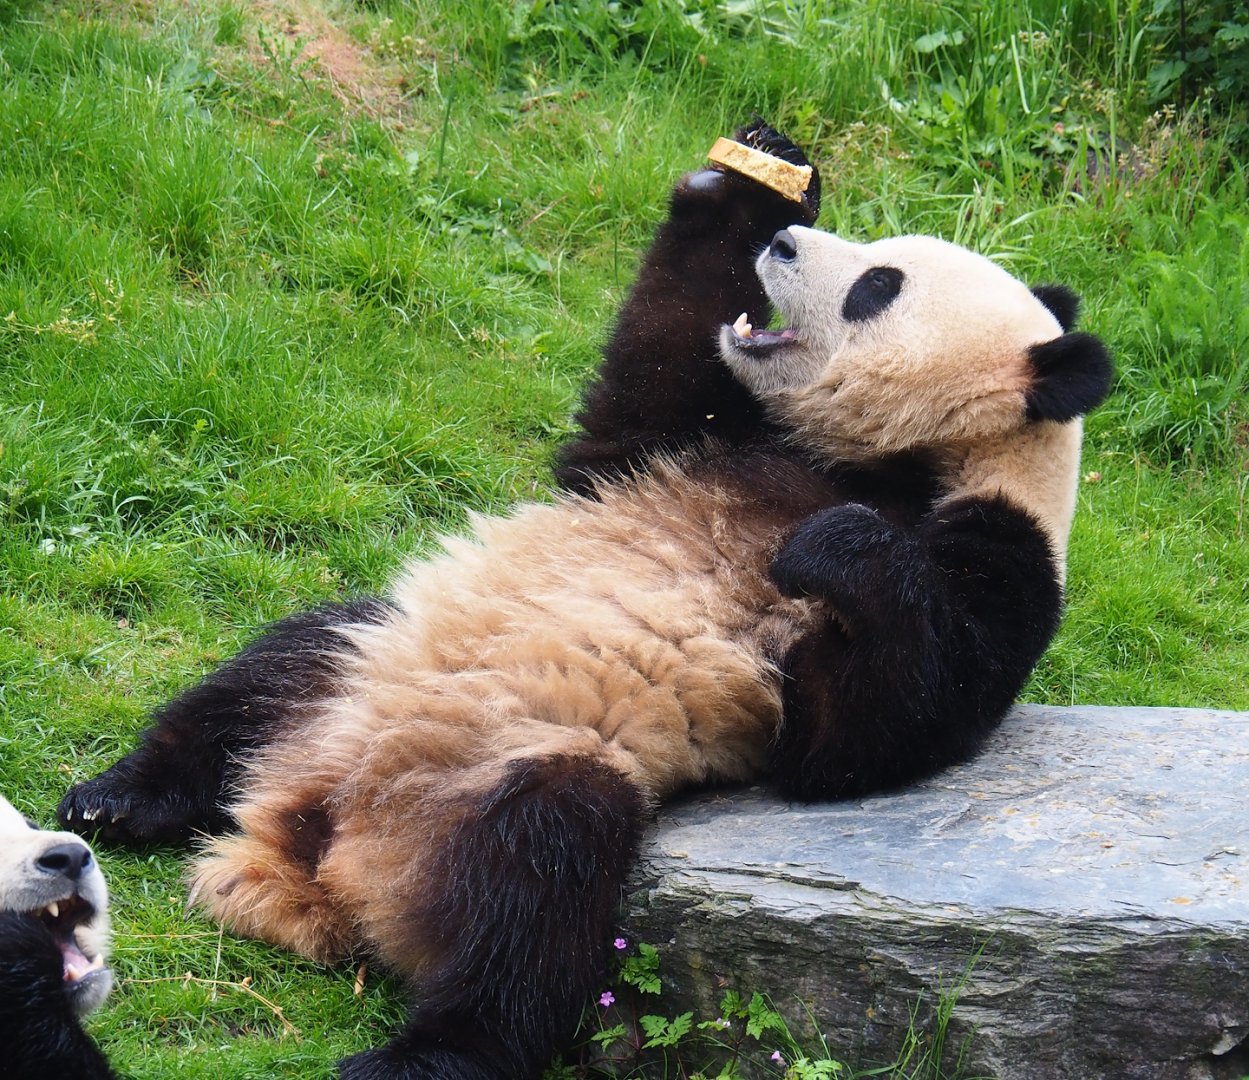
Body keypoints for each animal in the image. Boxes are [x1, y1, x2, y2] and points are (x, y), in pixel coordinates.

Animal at [57, 124, 1111, 1079]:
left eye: (876, 286)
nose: (784, 247)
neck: (899, 458)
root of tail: (304, 861)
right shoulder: (706, 440)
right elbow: (631, 403)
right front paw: (754, 177)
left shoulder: (999, 556)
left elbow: (865, 735)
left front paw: (832, 551)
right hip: (366, 664)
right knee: (283, 660)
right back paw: (119, 800)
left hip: (488, 789)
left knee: (539, 883)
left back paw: (427, 1055)